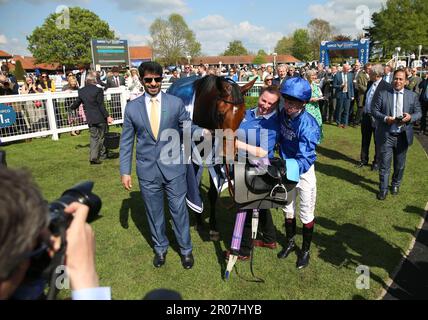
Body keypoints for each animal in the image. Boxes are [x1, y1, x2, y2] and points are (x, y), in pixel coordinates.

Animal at [167, 75, 256, 238]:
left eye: (243, 115)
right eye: (220, 114)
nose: (229, 152)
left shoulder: (215, 156)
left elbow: (213, 193)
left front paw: (213, 226)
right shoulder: (194, 156)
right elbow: (194, 185)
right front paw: (199, 221)